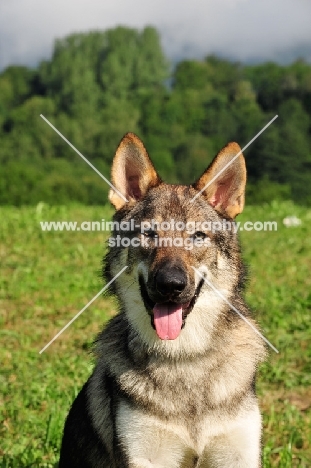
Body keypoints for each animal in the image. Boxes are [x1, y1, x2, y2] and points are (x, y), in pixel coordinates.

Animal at [59, 133, 266, 468]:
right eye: (149, 234)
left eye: (198, 236)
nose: (170, 284)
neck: (184, 359)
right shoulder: (145, 457)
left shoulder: (239, 456)